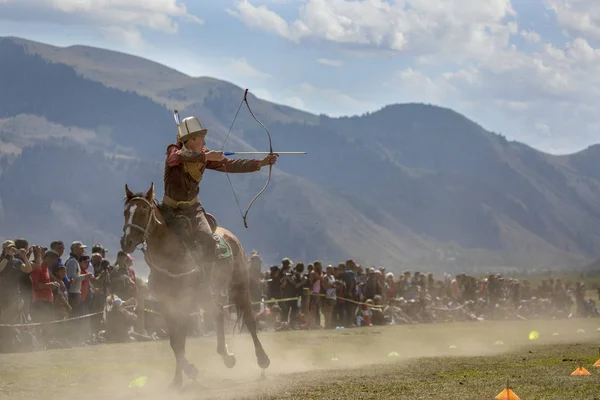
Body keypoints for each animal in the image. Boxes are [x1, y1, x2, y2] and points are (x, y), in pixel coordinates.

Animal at [119, 184, 270, 388]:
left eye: (143, 211)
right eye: (126, 212)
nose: (126, 242)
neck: (171, 253)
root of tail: (231, 236)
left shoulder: (186, 301)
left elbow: (180, 339)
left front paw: (189, 371)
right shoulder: (167, 303)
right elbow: (176, 342)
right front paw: (178, 379)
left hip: (240, 286)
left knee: (249, 319)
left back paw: (262, 358)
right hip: (207, 297)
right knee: (218, 313)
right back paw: (227, 356)